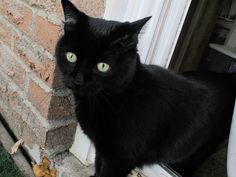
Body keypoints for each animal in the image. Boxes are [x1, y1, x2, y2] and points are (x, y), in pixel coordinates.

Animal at [55, 0, 236, 176]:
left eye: (103, 66)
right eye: (71, 56)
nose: (78, 79)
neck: (118, 99)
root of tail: (226, 77)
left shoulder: (119, 159)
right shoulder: (102, 151)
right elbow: (98, 168)